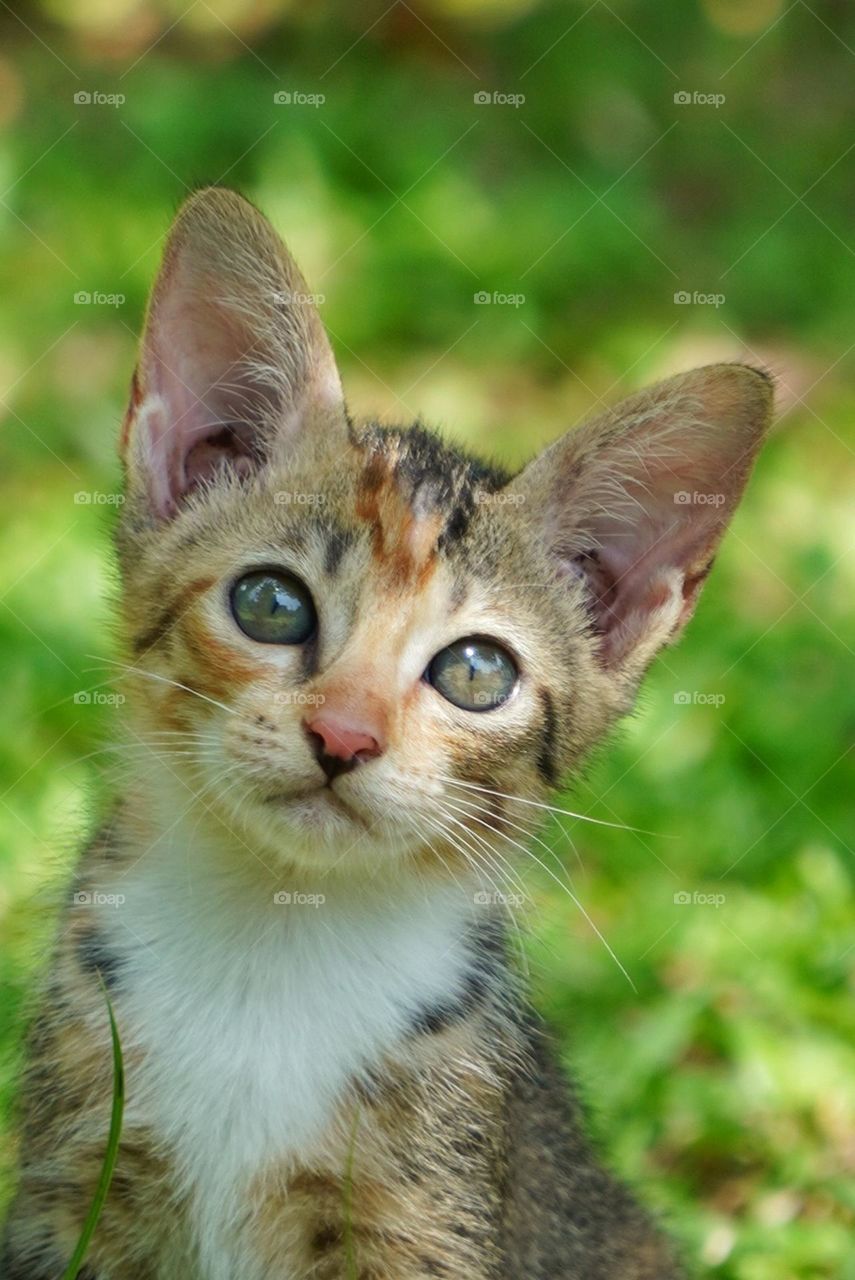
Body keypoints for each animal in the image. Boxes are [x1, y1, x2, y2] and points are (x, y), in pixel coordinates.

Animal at [3, 185, 773, 1274]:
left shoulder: (424, 1212)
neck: (274, 939)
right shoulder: (72, 1184)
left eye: (476, 673)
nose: (344, 735)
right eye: (272, 604)